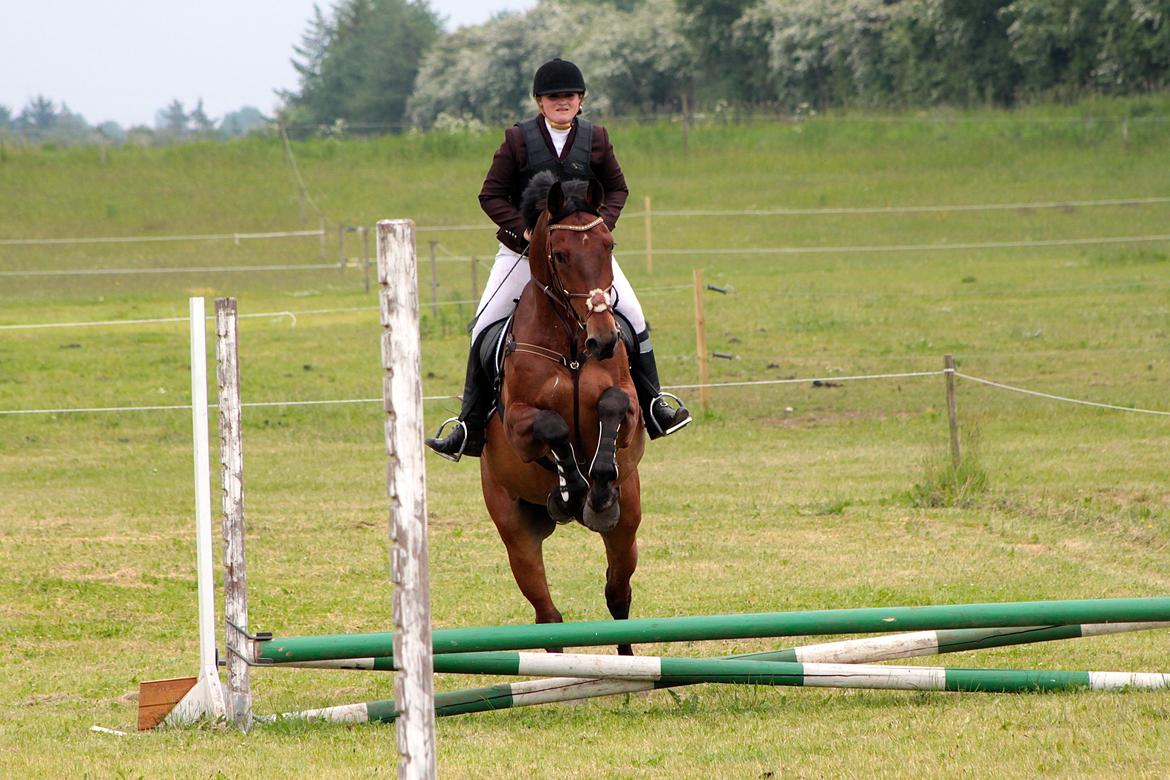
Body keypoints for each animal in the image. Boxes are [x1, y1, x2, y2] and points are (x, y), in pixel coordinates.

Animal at [484, 170, 650, 654]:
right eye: (560, 255)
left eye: (608, 245)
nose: (604, 338)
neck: (573, 347)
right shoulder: (518, 426)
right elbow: (553, 426)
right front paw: (571, 487)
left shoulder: (629, 410)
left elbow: (613, 407)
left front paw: (596, 490)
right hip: (516, 529)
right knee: (548, 617)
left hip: (628, 521)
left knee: (618, 593)